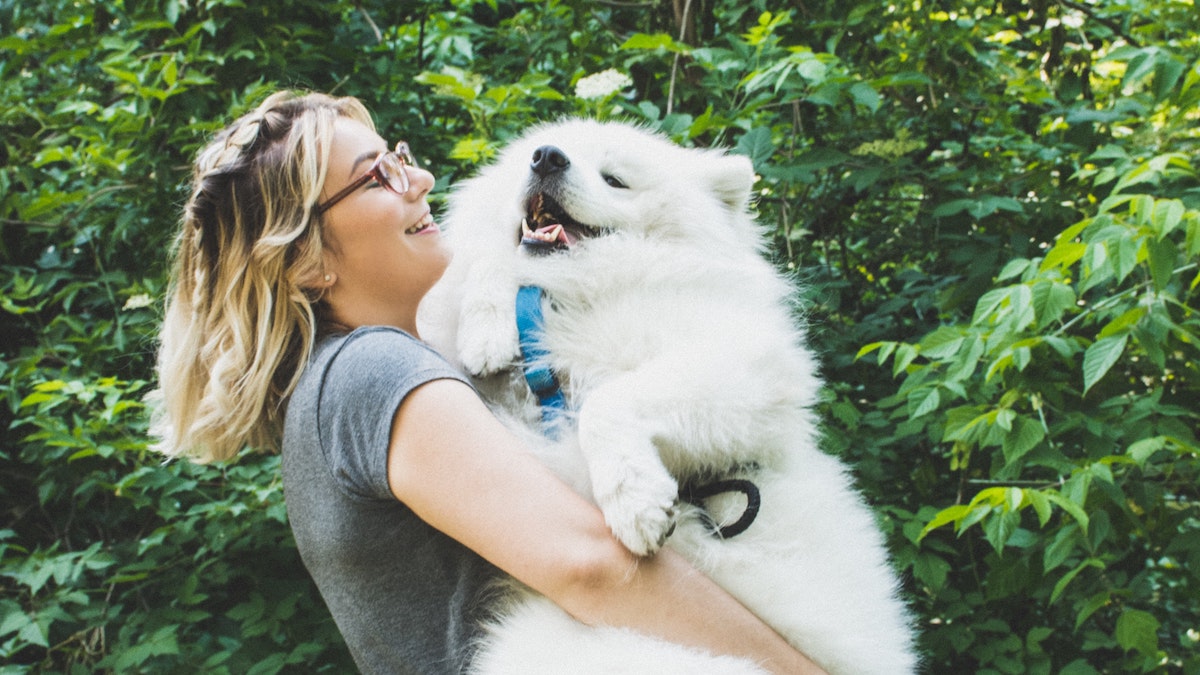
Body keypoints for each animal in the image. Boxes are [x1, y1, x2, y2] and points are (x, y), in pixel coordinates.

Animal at [417, 120, 912, 672]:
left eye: (615, 179)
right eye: (534, 155)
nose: (547, 158)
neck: (576, 298)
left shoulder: (739, 365)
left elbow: (610, 402)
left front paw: (636, 503)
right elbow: (486, 265)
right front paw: (486, 332)